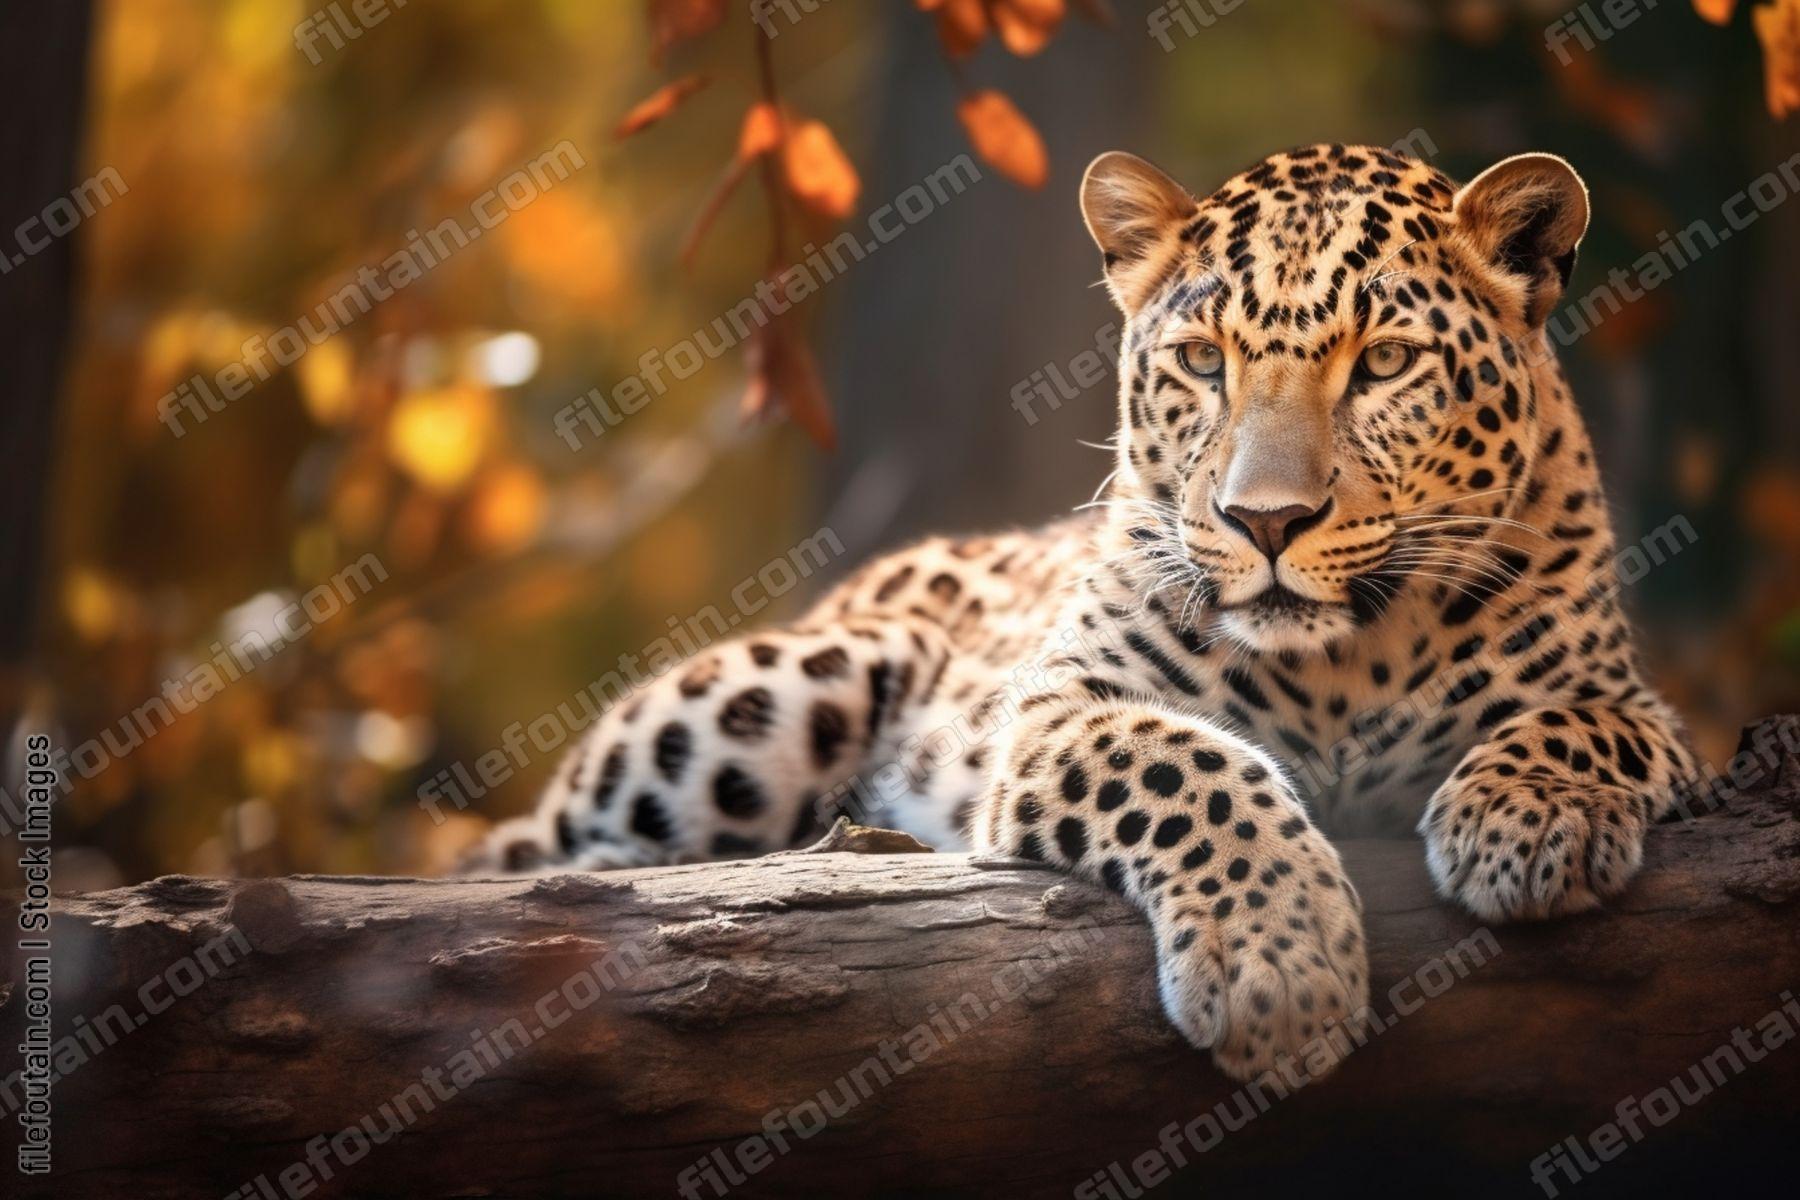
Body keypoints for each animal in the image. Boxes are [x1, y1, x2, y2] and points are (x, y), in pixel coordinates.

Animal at [470, 142, 1701, 1084]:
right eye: (1202, 362)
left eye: (1388, 363)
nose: (1267, 521)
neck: (1348, 658)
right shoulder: (1058, 709)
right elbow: (1195, 768)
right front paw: (1277, 965)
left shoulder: (1637, 706)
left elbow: (1585, 723)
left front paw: (1531, 817)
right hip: (784, 689)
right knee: (526, 852)